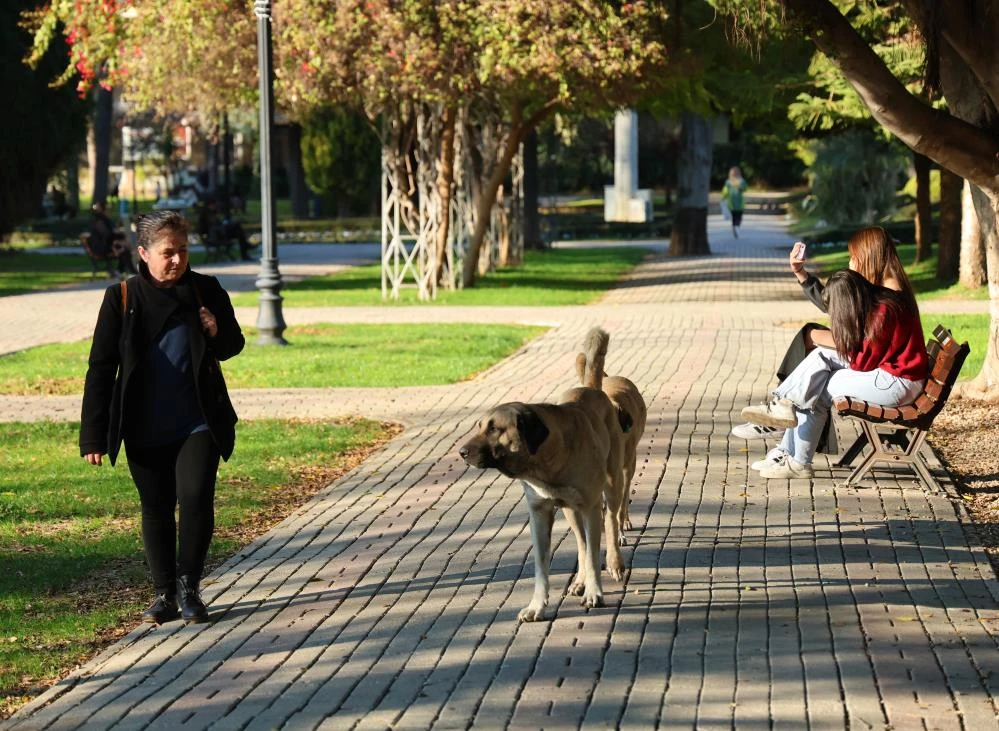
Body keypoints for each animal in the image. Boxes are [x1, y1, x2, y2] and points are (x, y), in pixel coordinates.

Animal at [458, 332, 624, 624]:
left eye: (494, 428)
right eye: (479, 427)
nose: (462, 452)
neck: (545, 462)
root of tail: (593, 389)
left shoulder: (590, 506)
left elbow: (594, 554)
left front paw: (594, 593)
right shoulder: (538, 512)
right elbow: (542, 564)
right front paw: (537, 606)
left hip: (612, 486)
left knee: (611, 522)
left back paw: (614, 564)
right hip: (570, 510)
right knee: (581, 542)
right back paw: (579, 580)